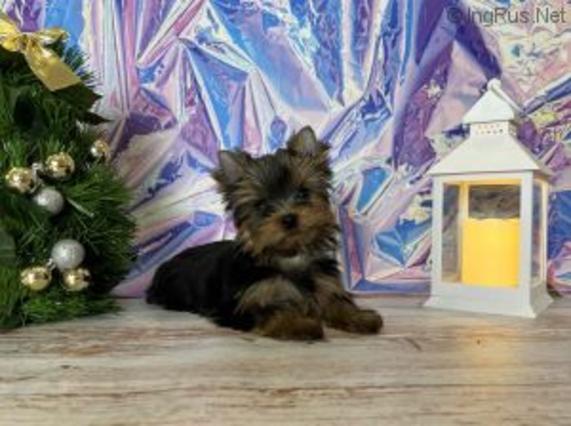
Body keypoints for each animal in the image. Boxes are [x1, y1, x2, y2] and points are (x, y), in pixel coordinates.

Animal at [147, 127, 383, 340]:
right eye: (261, 205)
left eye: (303, 193)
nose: (289, 218)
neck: (288, 255)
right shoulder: (242, 305)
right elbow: (271, 312)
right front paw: (301, 324)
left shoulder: (323, 281)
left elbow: (337, 301)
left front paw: (360, 317)